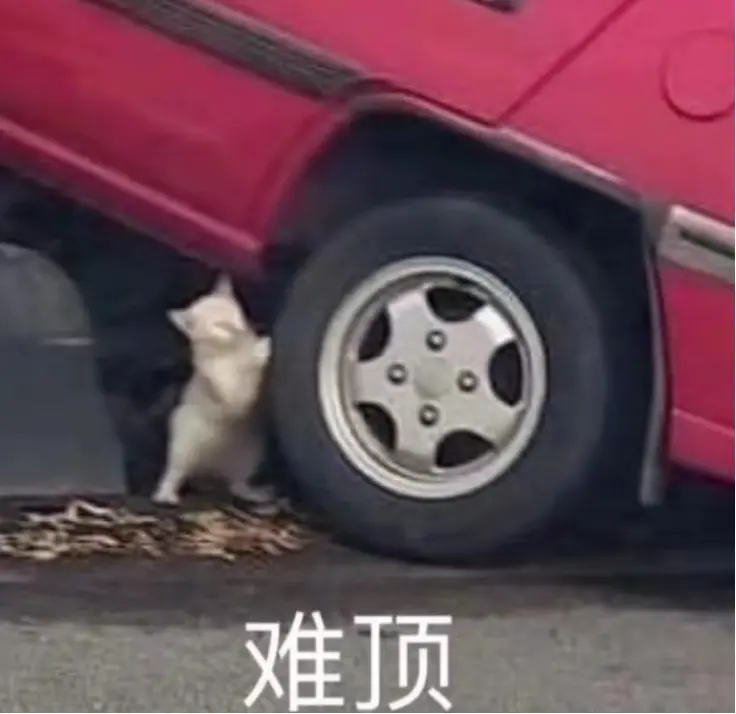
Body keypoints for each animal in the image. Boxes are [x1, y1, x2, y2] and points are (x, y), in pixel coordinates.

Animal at [151, 273, 277, 509]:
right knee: (175, 472)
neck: (231, 351)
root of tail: (210, 471)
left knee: (237, 484)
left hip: (251, 452)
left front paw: (257, 346)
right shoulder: (231, 392)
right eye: (219, 326)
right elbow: (239, 385)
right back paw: (165, 494)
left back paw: (255, 493)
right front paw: (261, 349)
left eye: (235, 314)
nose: (237, 330)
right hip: (183, 441)